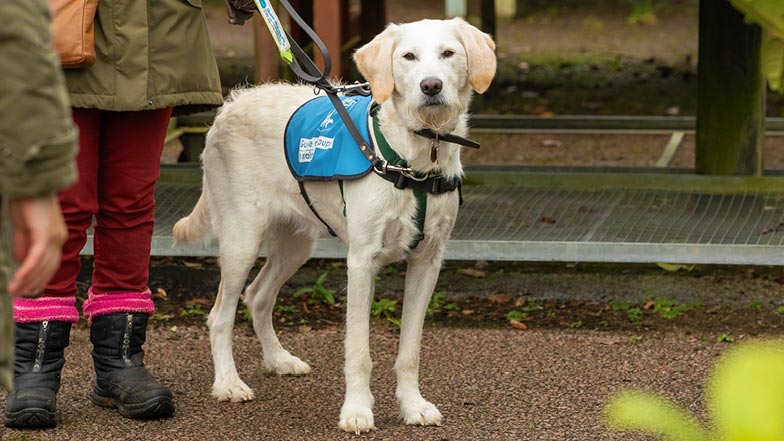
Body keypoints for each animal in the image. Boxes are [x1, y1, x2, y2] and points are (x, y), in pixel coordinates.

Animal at [174, 18, 496, 434]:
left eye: (448, 53)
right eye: (408, 56)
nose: (431, 86)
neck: (413, 157)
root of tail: (229, 107)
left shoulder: (428, 262)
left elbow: (410, 350)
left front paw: (413, 405)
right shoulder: (361, 262)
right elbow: (358, 351)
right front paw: (357, 410)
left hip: (295, 244)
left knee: (258, 295)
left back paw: (278, 360)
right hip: (241, 240)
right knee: (220, 315)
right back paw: (228, 383)